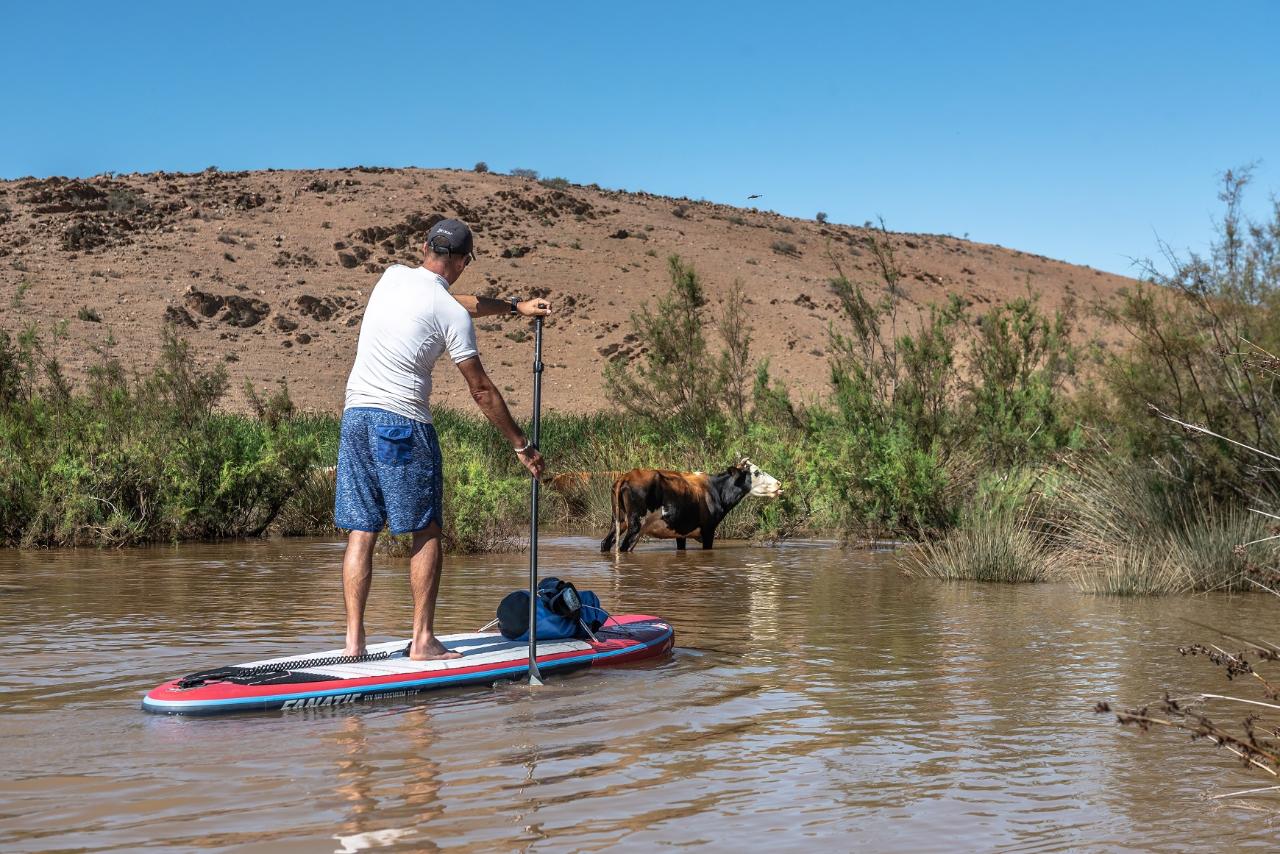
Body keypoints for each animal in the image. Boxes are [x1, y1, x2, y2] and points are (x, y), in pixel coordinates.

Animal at [599, 460, 778, 555]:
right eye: (756, 472)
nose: (778, 483)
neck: (716, 489)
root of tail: (626, 476)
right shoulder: (708, 530)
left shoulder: (681, 532)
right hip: (636, 525)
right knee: (623, 547)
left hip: (619, 521)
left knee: (606, 542)